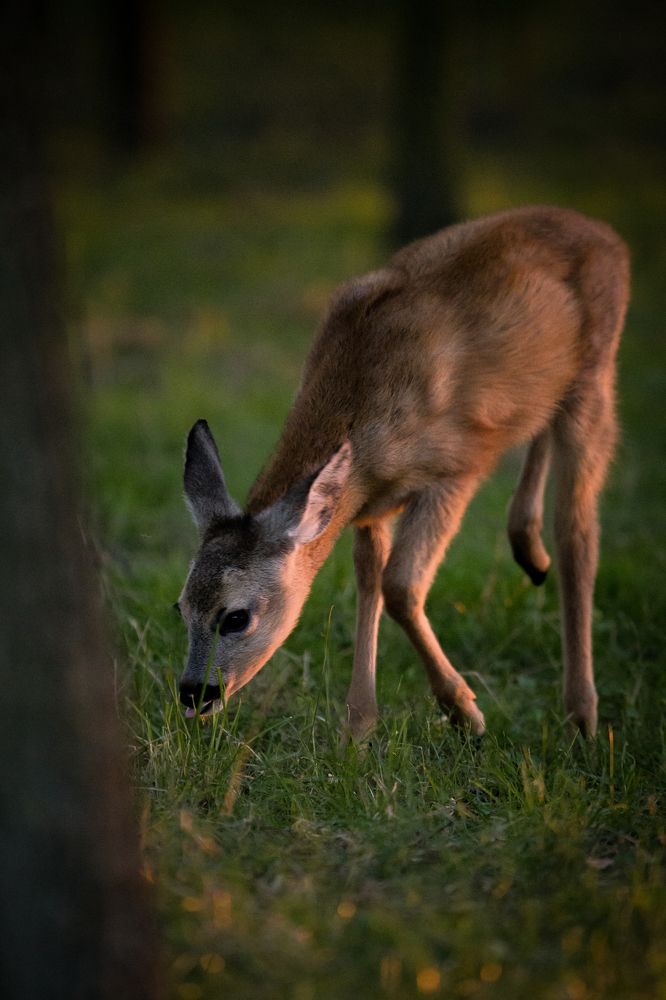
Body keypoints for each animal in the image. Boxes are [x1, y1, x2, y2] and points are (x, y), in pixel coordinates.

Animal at [175, 205, 629, 742]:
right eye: (180, 607)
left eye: (236, 617)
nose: (194, 694)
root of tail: (605, 234)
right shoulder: (367, 505)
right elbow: (369, 579)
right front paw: (358, 727)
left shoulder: (454, 470)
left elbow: (399, 586)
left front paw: (465, 712)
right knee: (541, 427)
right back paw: (530, 550)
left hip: (595, 374)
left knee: (578, 530)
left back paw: (583, 716)